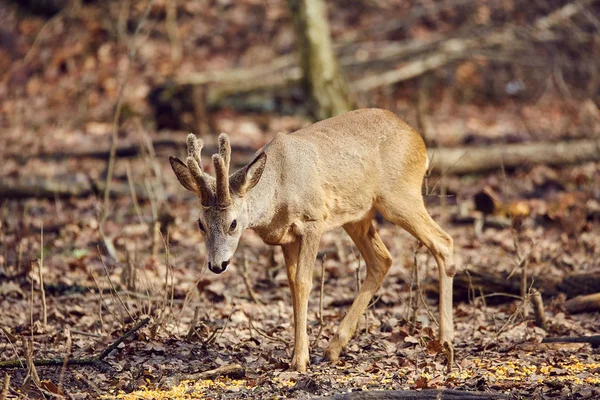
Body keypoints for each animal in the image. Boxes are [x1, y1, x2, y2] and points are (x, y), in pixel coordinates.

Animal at [169, 107, 454, 372]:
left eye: (233, 223)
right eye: (201, 224)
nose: (217, 265)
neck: (277, 190)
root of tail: (418, 139)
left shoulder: (313, 220)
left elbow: (304, 282)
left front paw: (299, 360)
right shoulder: (286, 238)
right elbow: (293, 285)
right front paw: (298, 353)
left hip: (399, 196)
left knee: (443, 242)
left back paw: (445, 344)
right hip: (357, 215)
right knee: (382, 260)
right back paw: (333, 349)